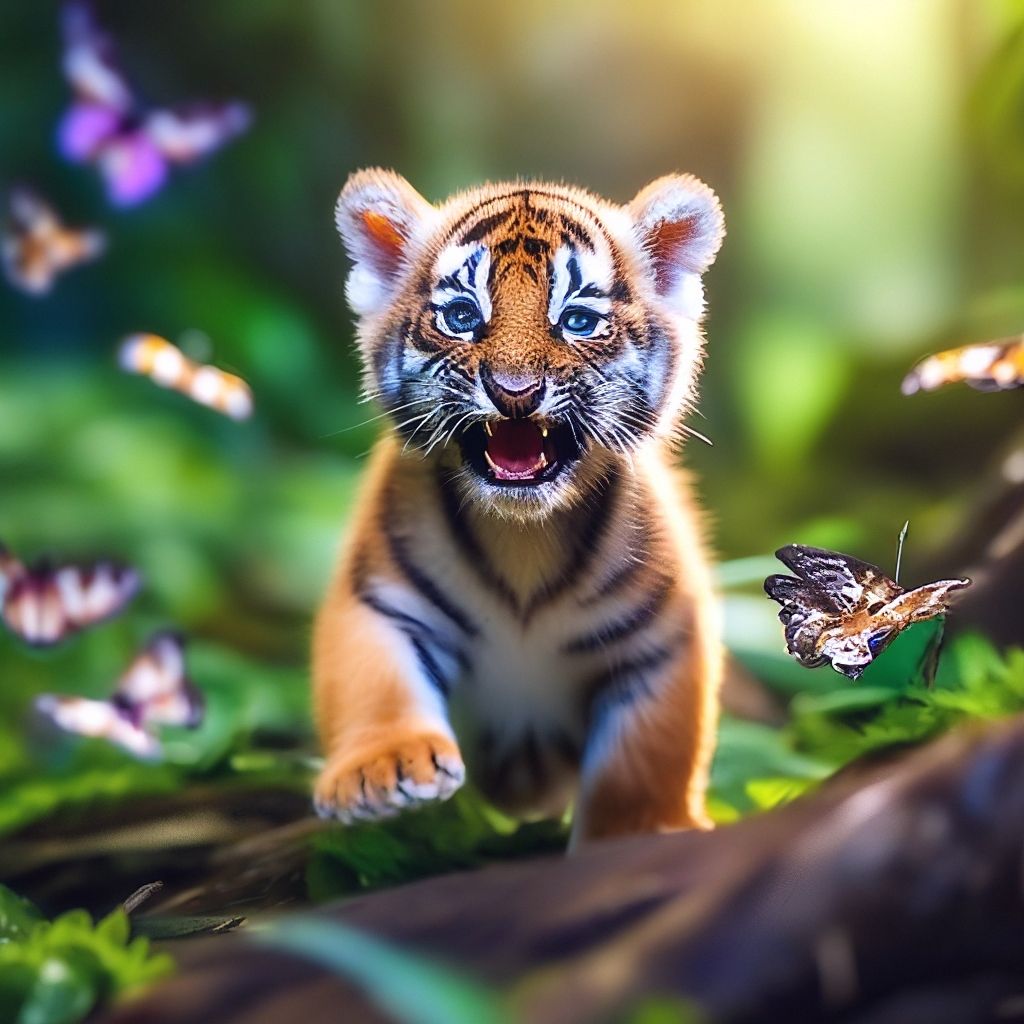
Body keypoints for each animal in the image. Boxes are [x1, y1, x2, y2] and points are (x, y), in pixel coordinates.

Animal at [313, 169, 725, 843]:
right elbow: (374, 683)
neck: (523, 536)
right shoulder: (380, 599)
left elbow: (645, 756)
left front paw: (640, 831)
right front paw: (383, 769)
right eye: (461, 316)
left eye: (577, 320)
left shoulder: (662, 639)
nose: (514, 392)